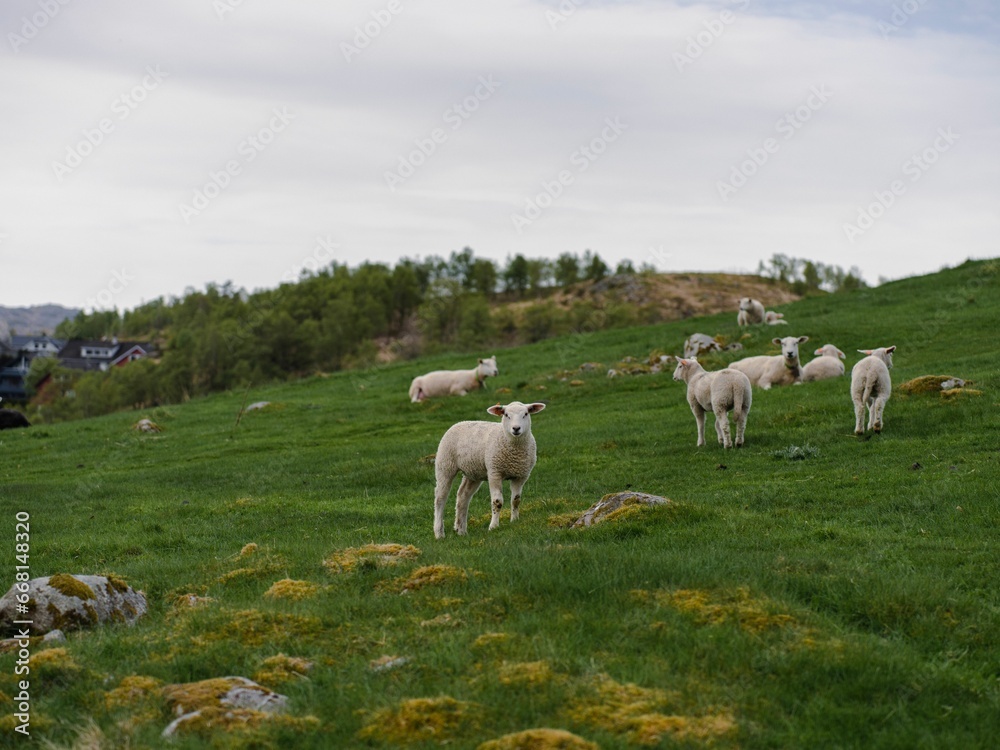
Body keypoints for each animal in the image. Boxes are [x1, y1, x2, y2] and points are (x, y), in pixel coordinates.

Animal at [432, 400, 544, 540]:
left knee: (463, 496)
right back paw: (439, 533)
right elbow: (497, 502)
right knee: (440, 499)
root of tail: (460, 422)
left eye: (526, 414)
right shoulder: (494, 472)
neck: (515, 449)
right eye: (506, 415)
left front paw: (514, 520)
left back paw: (461, 530)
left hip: (473, 473)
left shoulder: (521, 475)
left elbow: (516, 500)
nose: (516, 428)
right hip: (445, 465)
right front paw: (493, 526)